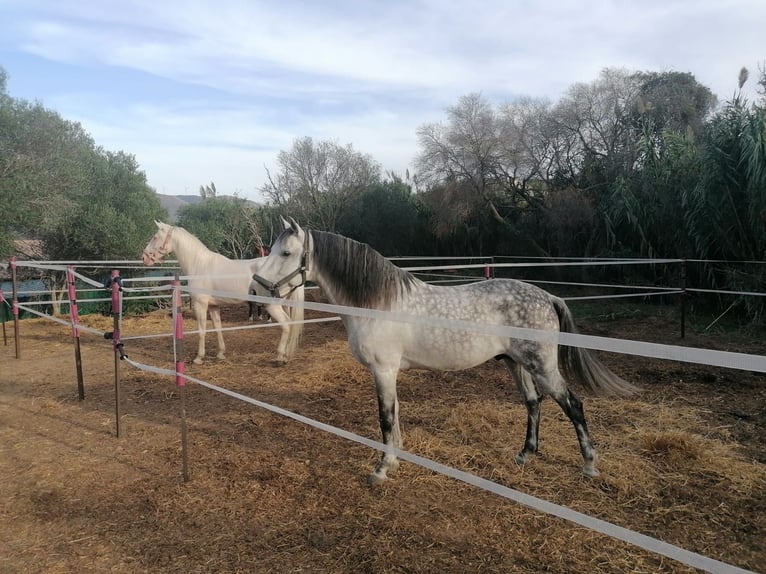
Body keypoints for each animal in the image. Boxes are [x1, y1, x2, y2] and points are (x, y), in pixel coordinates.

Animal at [144, 220, 304, 364]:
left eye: (155, 237)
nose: (144, 257)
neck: (199, 264)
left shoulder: (200, 305)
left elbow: (201, 331)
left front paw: (199, 358)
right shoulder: (214, 306)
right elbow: (217, 328)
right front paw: (220, 353)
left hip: (273, 305)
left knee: (286, 324)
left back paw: (280, 356)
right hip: (285, 303)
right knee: (291, 323)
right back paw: (286, 354)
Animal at [252, 220, 636, 486]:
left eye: (285, 253)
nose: (257, 289)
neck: (377, 303)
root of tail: (548, 296)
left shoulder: (383, 370)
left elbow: (385, 418)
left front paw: (382, 469)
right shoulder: (389, 372)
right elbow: (395, 415)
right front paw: (397, 458)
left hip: (542, 365)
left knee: (573, 405)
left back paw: (589, 465)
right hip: (517, 364)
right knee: (533, 403)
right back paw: (525, 454)